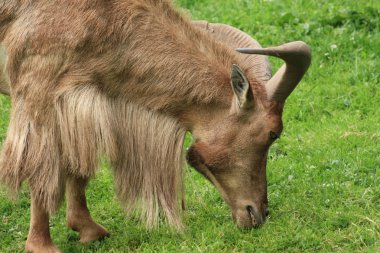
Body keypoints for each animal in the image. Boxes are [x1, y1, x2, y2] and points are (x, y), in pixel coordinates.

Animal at [0, 0, 308, 252]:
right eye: (272, 133)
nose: (257, 213)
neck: (106, 19)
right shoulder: (37, 88)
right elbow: (38, 166)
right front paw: (42, 245)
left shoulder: (80, 107)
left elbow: (76, 166)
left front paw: (89, 230)